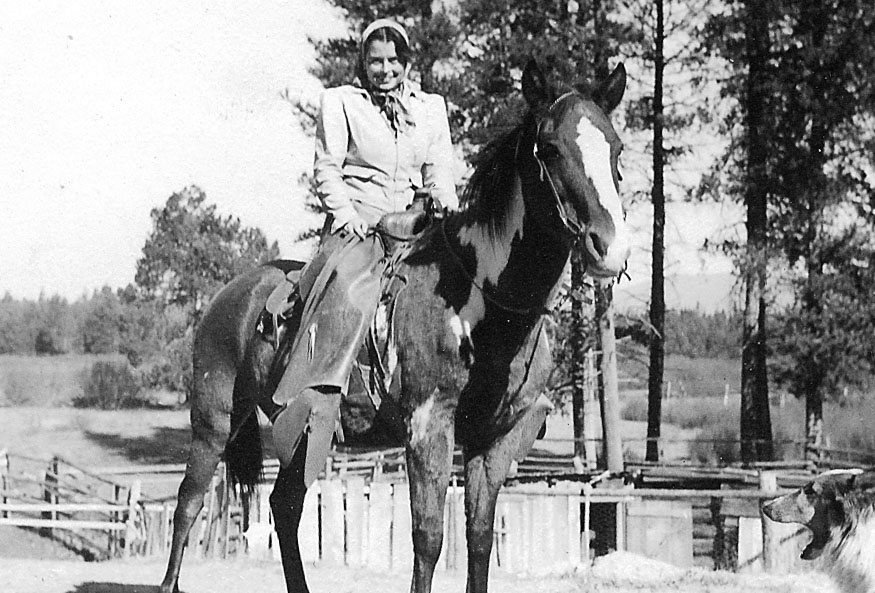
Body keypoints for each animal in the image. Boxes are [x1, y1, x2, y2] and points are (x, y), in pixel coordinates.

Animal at [159, 59, 628, 592]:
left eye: (616, 148)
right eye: (550, 147)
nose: (609, 247)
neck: (479, 299)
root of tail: (227, 297)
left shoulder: (498, 439)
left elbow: (480, 540)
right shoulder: (427, 427)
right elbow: (428, 540)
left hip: (305, 429)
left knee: (285, 505)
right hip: (214, 421)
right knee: (188, 503)